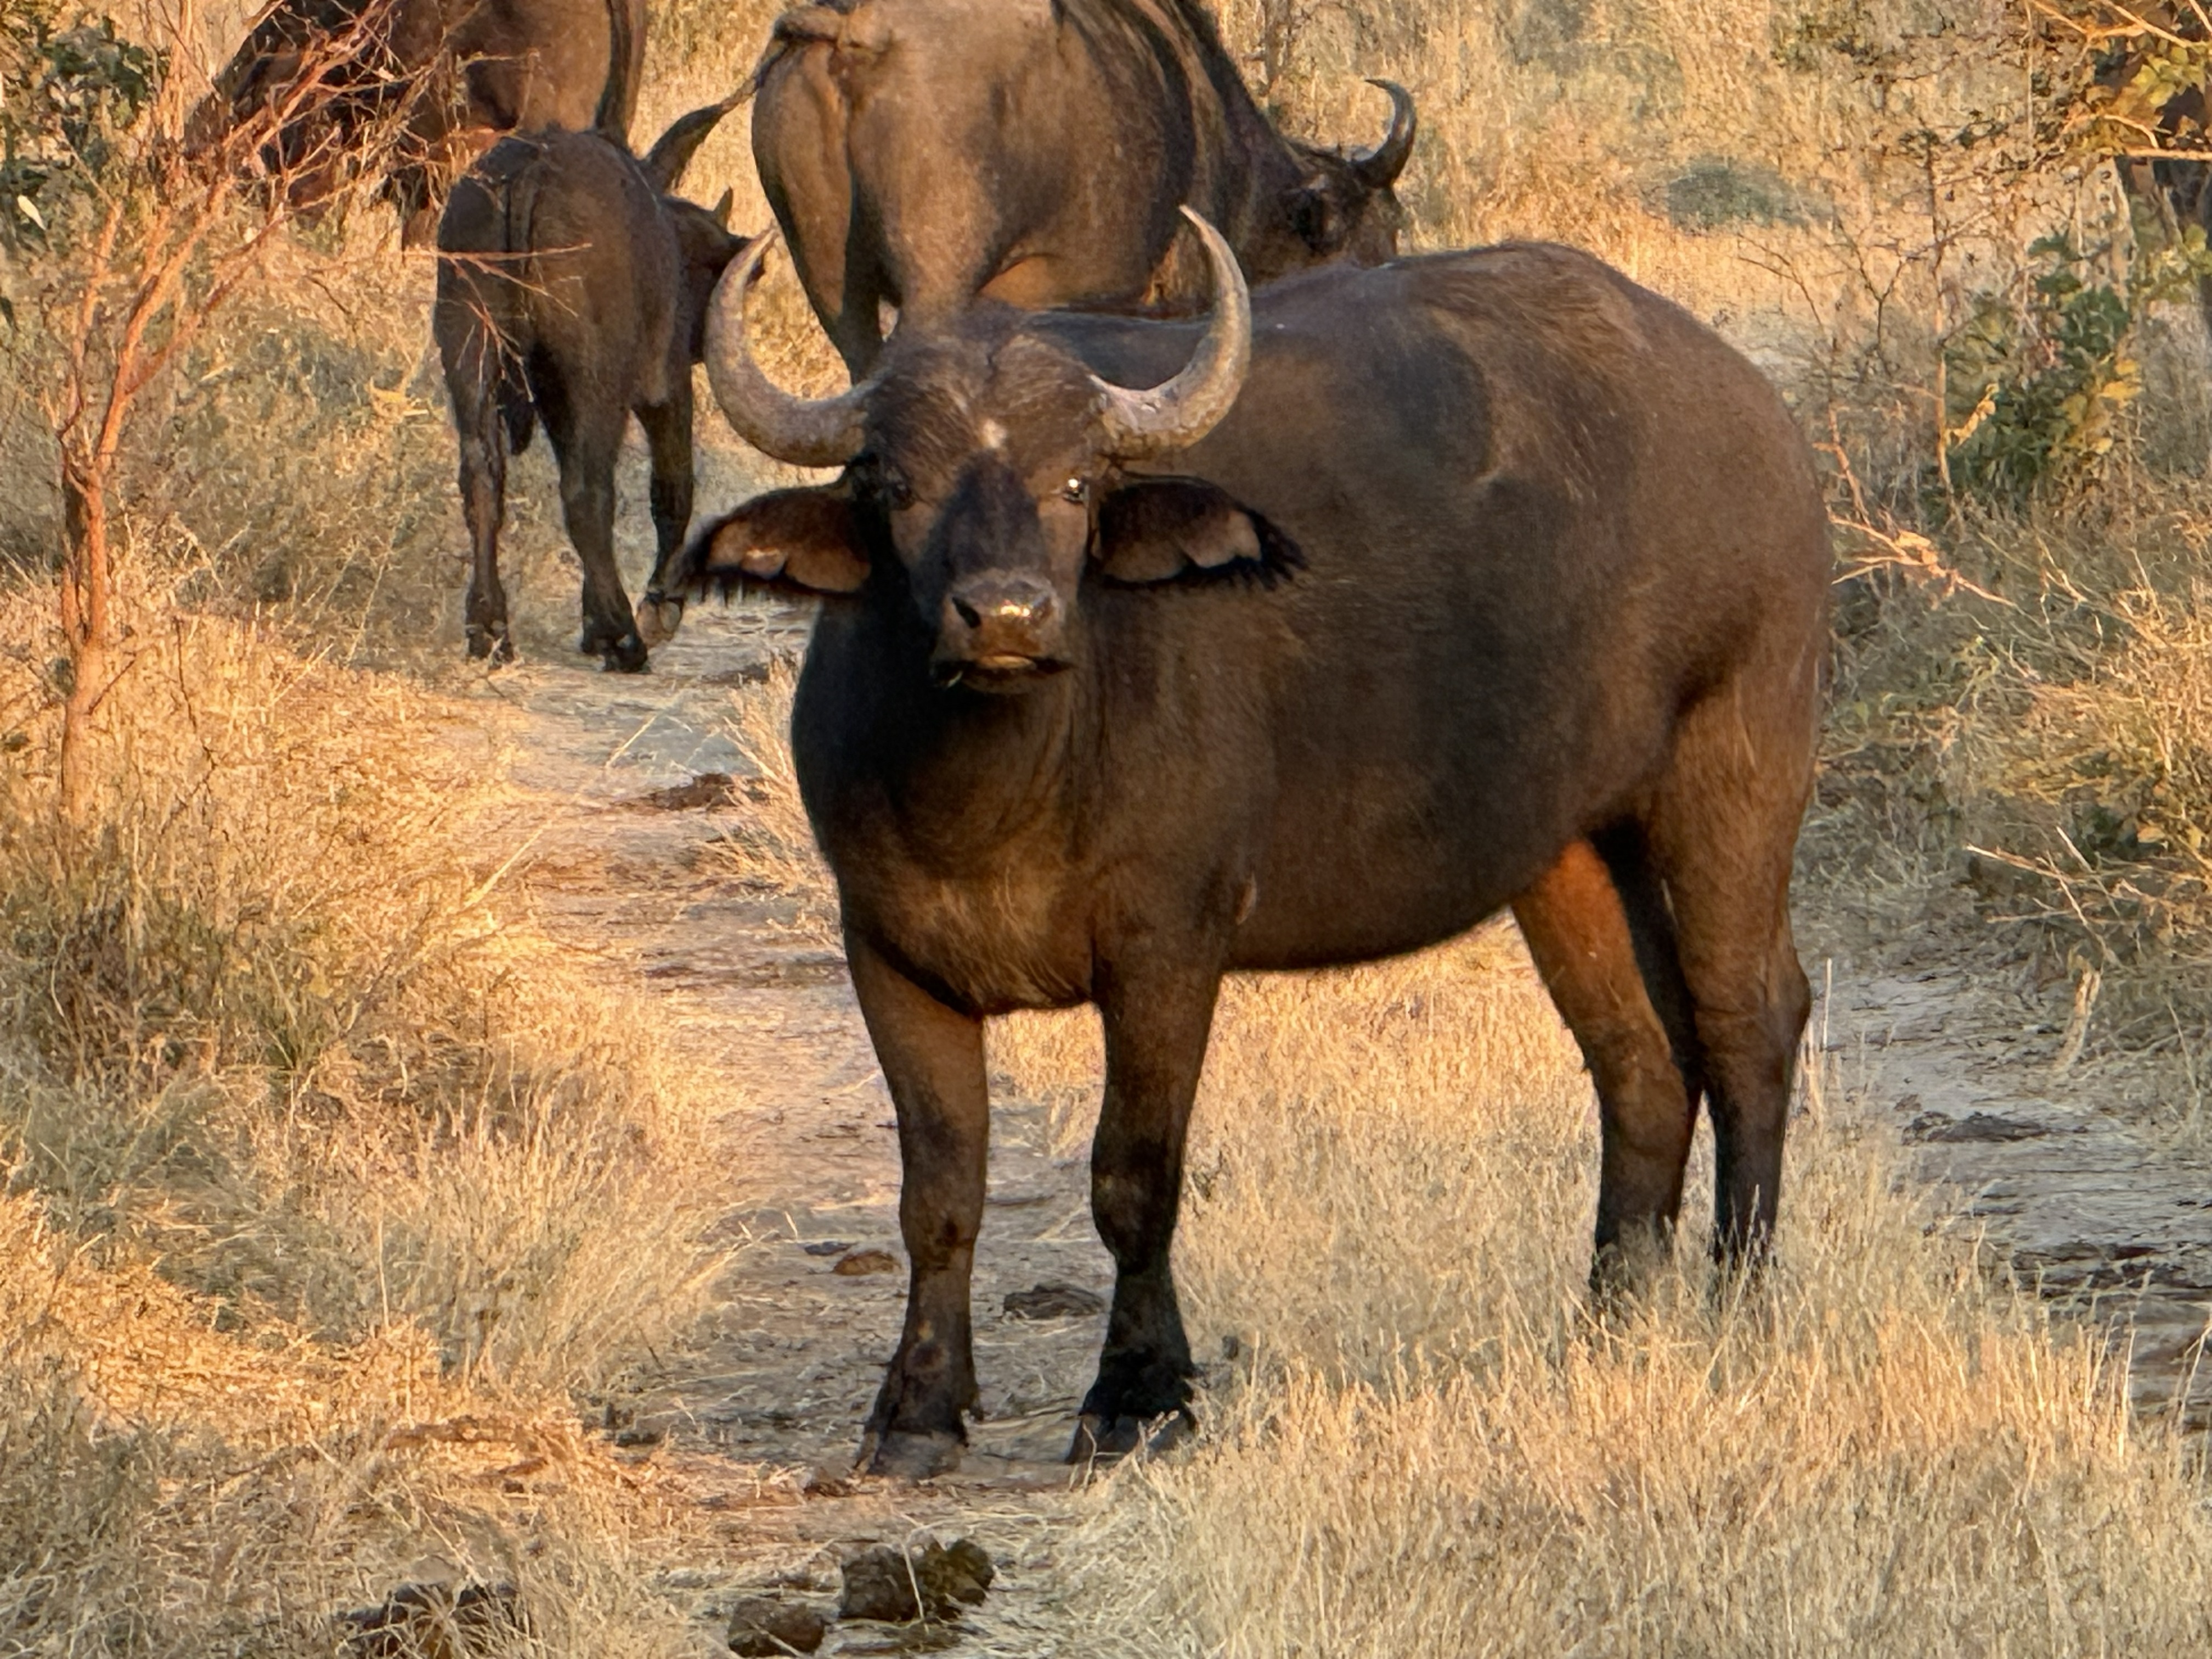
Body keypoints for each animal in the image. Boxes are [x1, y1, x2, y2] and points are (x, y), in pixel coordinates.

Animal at [434, 100, 749, 670]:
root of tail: (530, 170)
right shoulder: (666, 387)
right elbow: (673, 490)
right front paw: (659, 605)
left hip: (469, 345)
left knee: (482, 480)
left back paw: (489, 627)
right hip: (596, 379)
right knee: (587, 493)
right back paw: (622, 636)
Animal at [652, 215, 1829, 1477]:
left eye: (1076, 483)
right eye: (899, 486)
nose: (1007, 615)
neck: (998, 789)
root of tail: (1754, 418)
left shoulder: (1168, 947)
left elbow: (1133, 1174)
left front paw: (1138, 1393)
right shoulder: (886, 950)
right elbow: (939, 1187)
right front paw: (918, 1406)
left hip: (1736, 772)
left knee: (1749, 1021)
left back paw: (1739, 1300)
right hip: (1569, 847)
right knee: (1641, 1060)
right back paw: (1607, 1320)